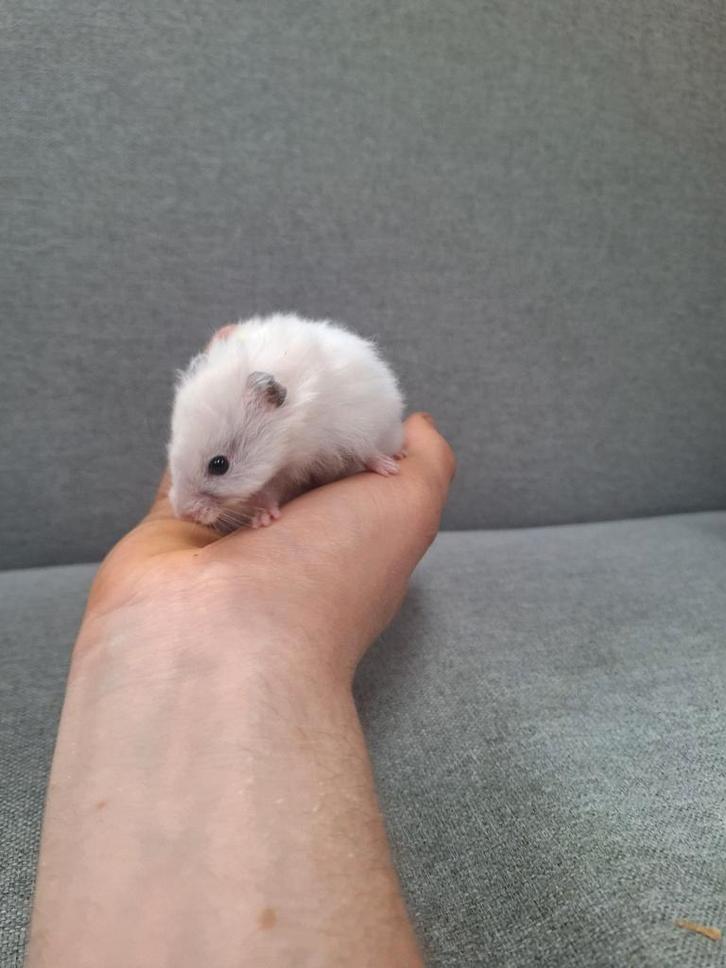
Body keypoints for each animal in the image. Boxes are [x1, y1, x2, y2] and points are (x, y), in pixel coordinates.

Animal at [167, 313, 405, 530]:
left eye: (219, 465)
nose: (183, 515)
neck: (292, 444)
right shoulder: (280, 474)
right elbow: (268, 493)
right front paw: (262, 520)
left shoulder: (352, 427)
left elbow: (367, 451)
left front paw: (390, 469)